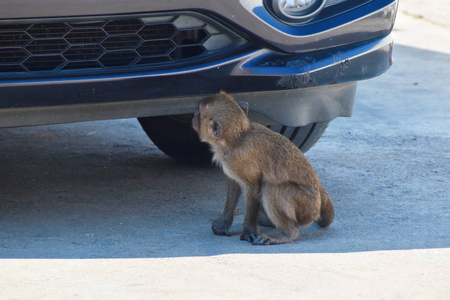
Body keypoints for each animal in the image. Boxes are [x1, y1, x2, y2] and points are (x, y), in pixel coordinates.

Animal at [191, 92, 334, 246]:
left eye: (200, 113)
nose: (194, 115)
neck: (237, 139)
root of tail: (320, 190)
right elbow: (235, 184)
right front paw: (222, 225)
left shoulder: (239, 160)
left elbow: (252, 187)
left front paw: (249, 231)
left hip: (306, 206)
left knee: (270, 187)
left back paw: (287, 234)